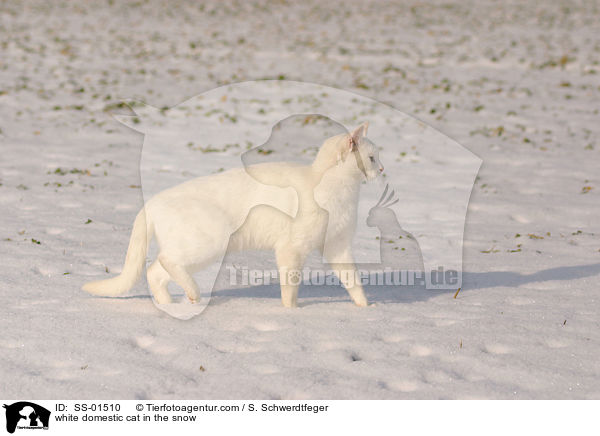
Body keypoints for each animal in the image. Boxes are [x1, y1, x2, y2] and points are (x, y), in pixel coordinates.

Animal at [83, 122, 384, 306]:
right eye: (371, 158)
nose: (382, 170)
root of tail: (152, 202)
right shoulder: (291, 249)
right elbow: (290, 289)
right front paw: (291, 313)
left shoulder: (337, 246)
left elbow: (353, 281)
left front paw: (367, 308)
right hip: (208, 243)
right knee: (165, 263)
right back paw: (192, 295)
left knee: (154, 272)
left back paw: (172, 305)